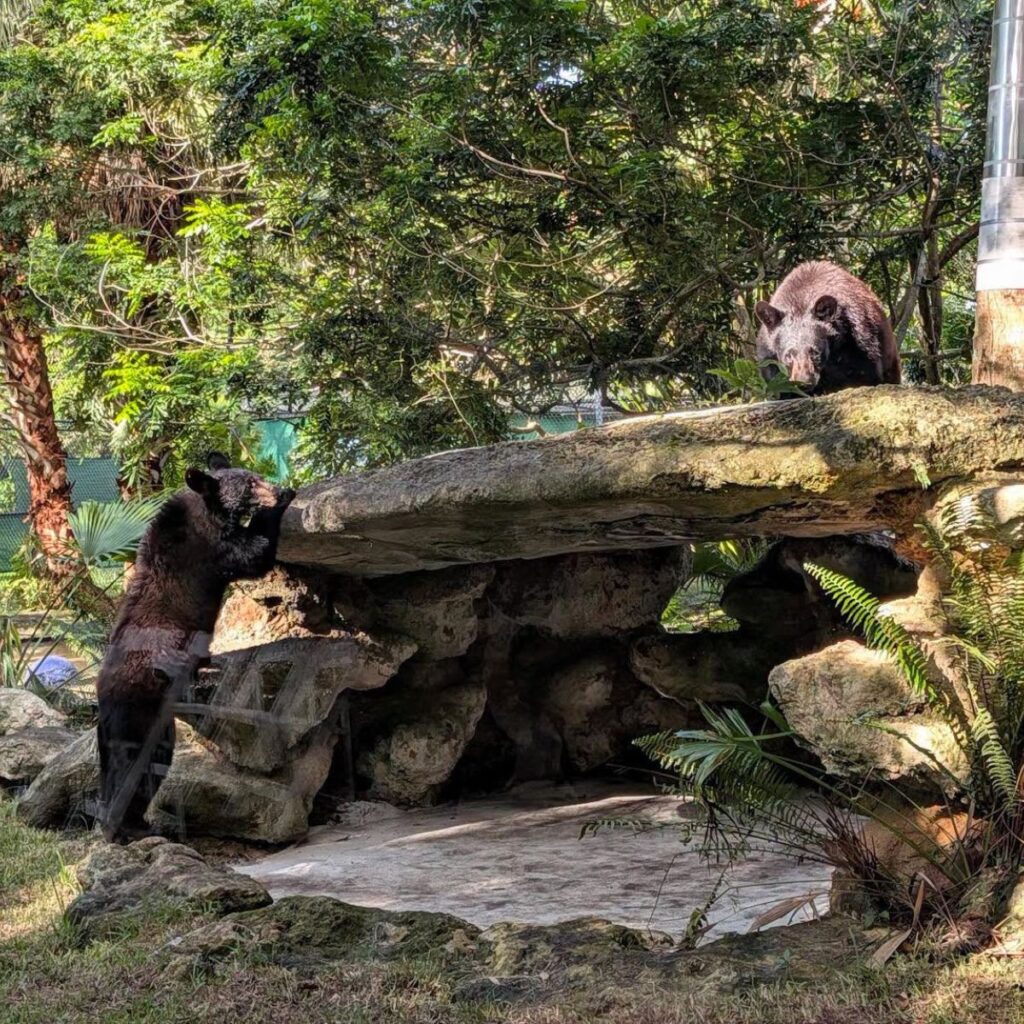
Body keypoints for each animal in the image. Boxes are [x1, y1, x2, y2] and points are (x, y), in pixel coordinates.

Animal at [96, 452, 295, 842]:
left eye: (256, 476)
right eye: (250, 484)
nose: (278, 489)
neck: (205, 512)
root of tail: (102, 698)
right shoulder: (208, 550)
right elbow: (254, 552)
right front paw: (283, 502)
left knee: (151, 763)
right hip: (135, 710)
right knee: (128, 766)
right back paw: (121, 828)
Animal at [754, 261, 901, 395]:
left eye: (815, 352)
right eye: (788, 355)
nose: (804, 382)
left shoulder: (859, 339)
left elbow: (864, 372)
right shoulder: (768, 355)